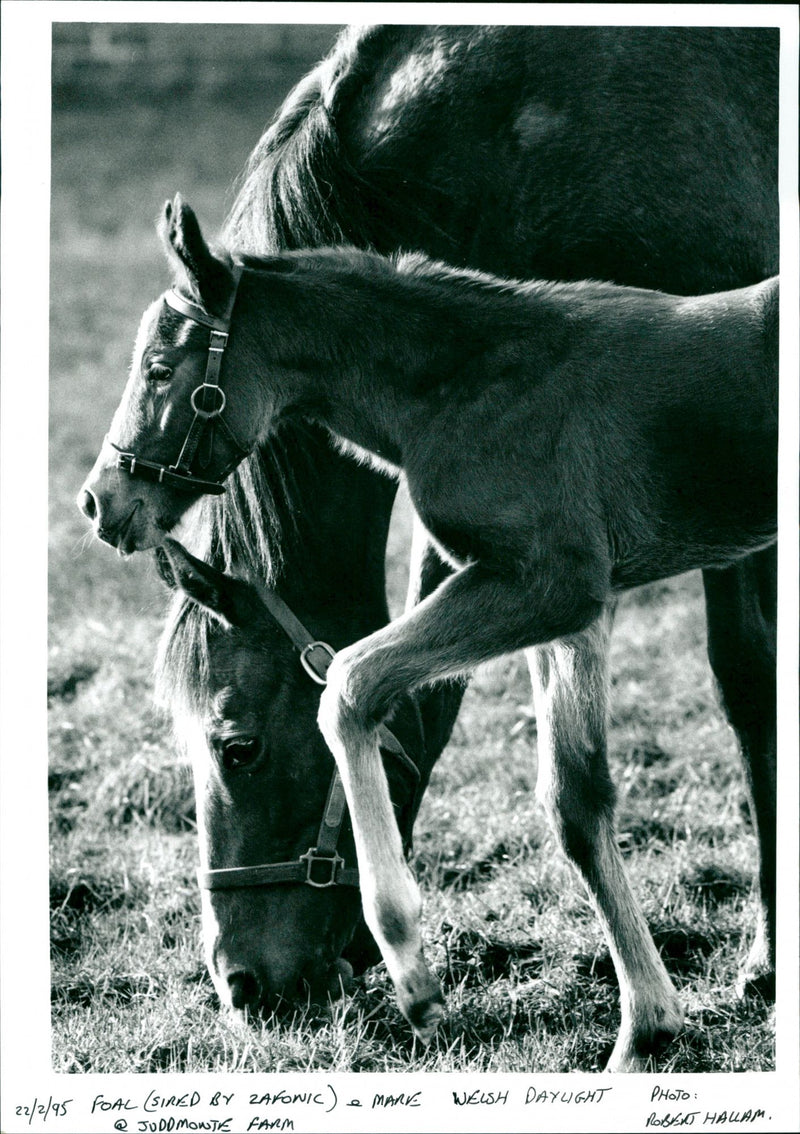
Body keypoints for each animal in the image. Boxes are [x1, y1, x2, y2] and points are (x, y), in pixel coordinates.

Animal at [77, 26, 778, 1070]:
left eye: (238, 748)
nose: (244, 988)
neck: (471, 371)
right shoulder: (570, 604)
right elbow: (574, 798)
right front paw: (647, 1021)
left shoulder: (546, 581)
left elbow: (351, 687)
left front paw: (414, 967)